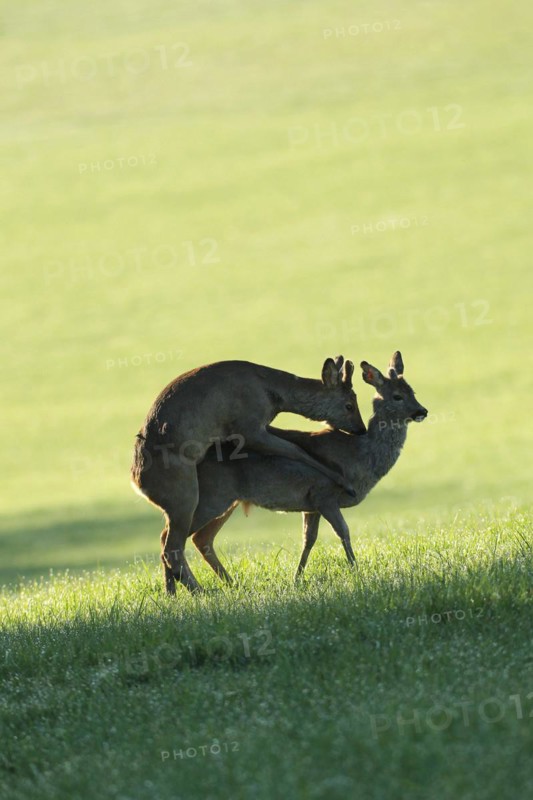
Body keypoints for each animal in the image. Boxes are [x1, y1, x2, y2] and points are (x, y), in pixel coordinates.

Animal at [131, 356, 367, 593]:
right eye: (349, 405)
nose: (362, 429)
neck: (271, 394)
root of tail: (138, 484)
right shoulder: (247, 426)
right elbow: (295, 449)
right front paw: (344, 482)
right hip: (184, 494)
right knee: (172, 547)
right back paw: (200, 592)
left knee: (167, 541)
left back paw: (174, 592)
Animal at [171, 351, 427, 586]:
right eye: (397, 396)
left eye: (413, 392)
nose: (422, 411)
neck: (360, 456)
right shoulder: (324, 493)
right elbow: (343, 531)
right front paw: (357, 571)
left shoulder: (311, 504)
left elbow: (308, 539)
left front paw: (297, 577)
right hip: (212, 496)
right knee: (175, 537)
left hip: (228, 500)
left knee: (201, 538)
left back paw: (227, 584)